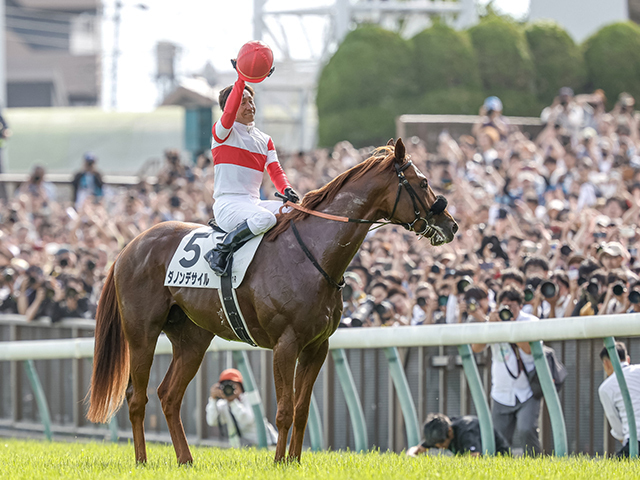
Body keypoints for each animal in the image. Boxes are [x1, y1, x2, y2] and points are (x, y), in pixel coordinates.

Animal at [86, 137, 456, 464]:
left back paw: (186, 459)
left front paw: (294, 461)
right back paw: (142, 460)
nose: (451, 225)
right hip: (142, 334)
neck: (312, 254)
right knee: (137, 398)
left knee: (169, 396)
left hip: (192, 338)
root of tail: (129, 247)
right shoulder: (285, 344)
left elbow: (302, 410)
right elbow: (284, 410)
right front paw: (279, 462)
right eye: (422, 182)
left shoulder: (317, 346)